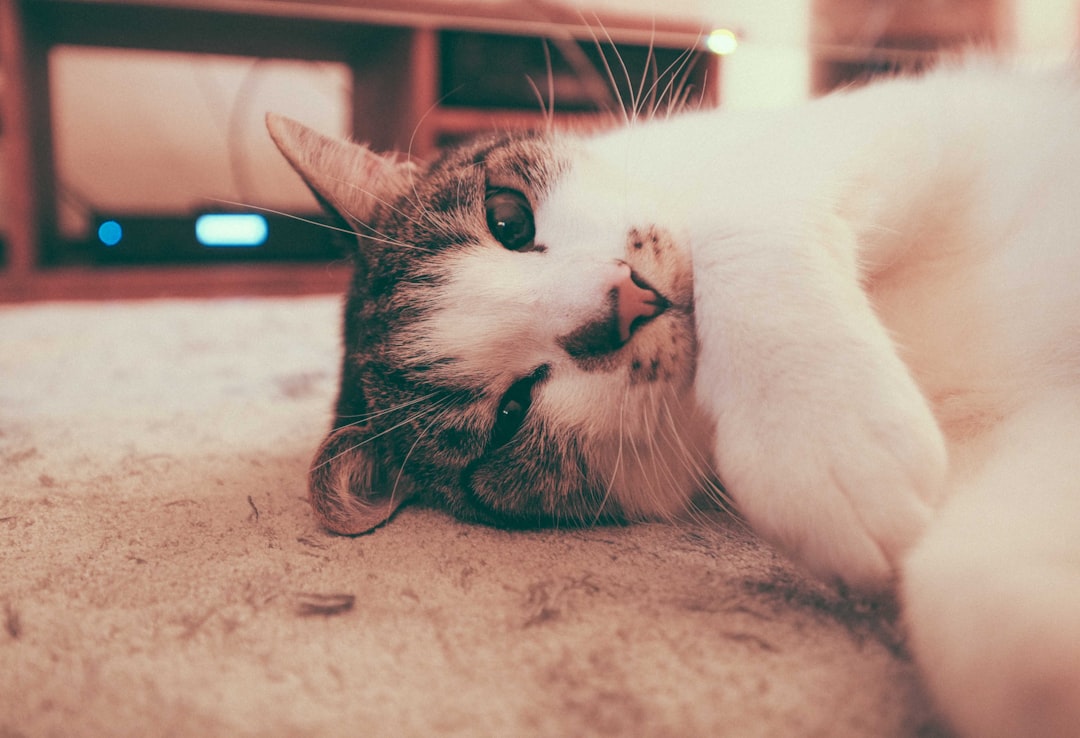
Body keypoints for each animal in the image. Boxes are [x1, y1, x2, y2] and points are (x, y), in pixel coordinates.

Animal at [267, 59, 1080, 738]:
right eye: (509, 417)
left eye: (507, 218)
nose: (624, 303)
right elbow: (976, 611)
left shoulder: (906, 120)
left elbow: (740, 207)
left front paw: (821, 432)